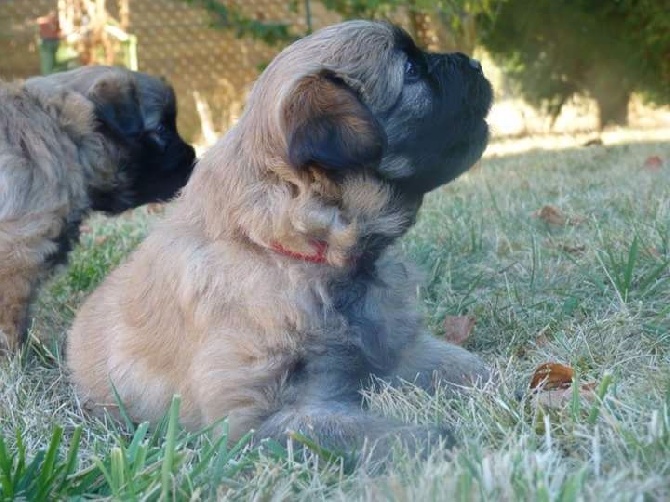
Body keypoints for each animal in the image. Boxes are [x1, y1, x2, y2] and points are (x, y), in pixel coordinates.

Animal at [1, 64, 197, 352]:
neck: (64, 136)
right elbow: (11, 316)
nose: (194, 158)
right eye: (161, 128)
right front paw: (15, 354)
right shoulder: (18, 249)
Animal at [69, 21, 494, 460]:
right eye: (410, 70)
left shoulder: (397, 347)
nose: (477, 63)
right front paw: (427, 440)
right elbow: (344, 430)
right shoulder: (254, 416)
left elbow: (467, 365)